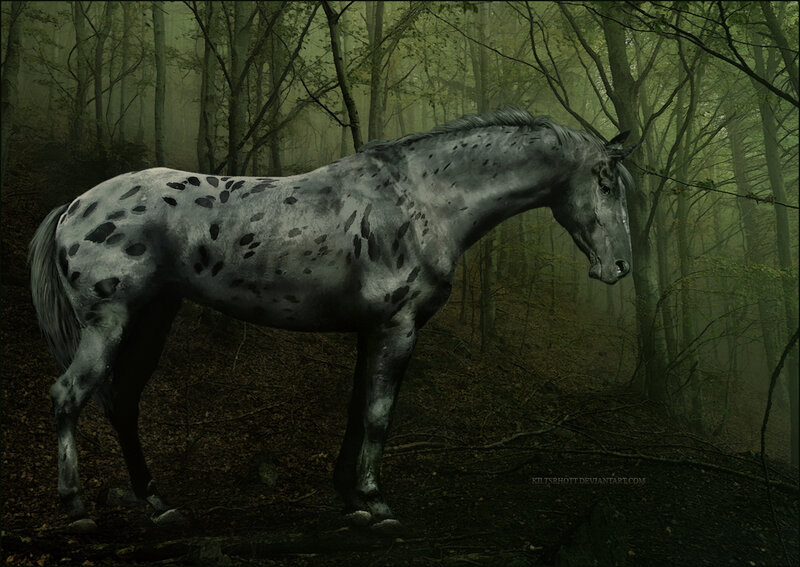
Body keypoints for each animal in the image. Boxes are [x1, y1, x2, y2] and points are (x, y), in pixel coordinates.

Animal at [29, 107, 636, 533]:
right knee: (69, 395)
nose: (621, 267)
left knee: (123, 402)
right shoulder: (397, 326)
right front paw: (376, 503)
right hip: (109, 322)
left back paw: (159, 505)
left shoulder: (371, 330)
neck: (425, 200)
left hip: (152, 318)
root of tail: (75, 205)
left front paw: (350, 499)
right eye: (606, 183)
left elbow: (356, 412)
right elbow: (378, 415)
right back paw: (77, 508)